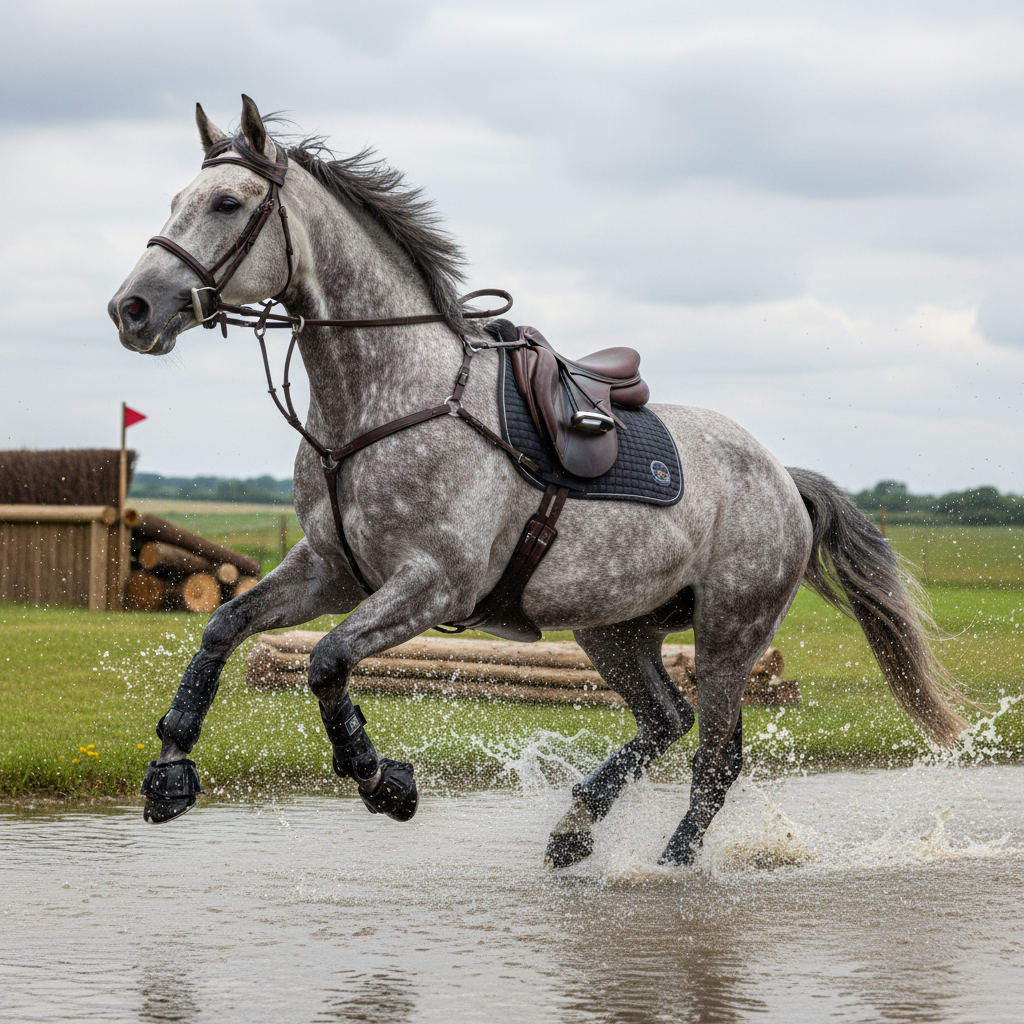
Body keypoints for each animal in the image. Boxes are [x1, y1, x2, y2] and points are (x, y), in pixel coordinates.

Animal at [108, 95, 966, 867]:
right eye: (177, 201)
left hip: (731, 630)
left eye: (226, 203)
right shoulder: (332, 570)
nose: (131, 309)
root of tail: (782, 477)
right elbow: (223, 627)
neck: (381, 405)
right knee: (670, 722)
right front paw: (170, 773)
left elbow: (327, 660)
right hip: (618, 629)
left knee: (712, 758)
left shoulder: (432, 583)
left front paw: (384, 781)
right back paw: (574, 828)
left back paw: (670, 864)